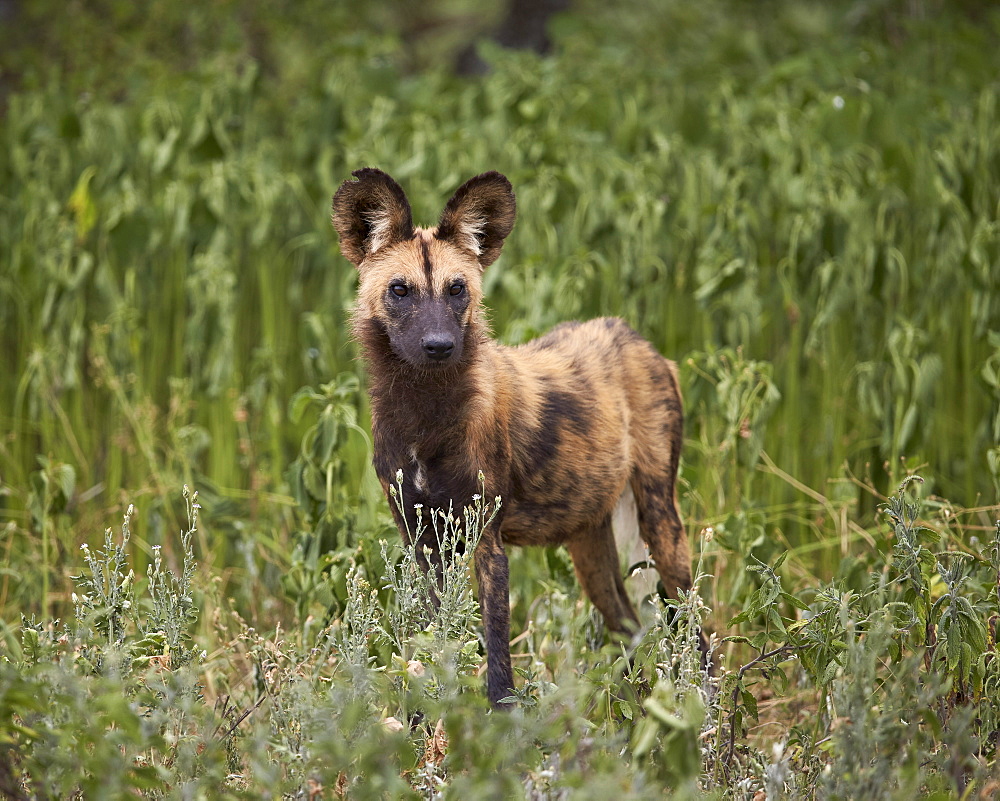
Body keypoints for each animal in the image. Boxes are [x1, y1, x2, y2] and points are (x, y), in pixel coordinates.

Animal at [332, 169, 700, 708]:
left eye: (457, 289)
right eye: (400, 290)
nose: (439, 346)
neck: (425, 419)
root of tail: (638, 338)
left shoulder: (488, 542)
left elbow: (497, 655)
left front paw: (500, 717)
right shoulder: (422, 544)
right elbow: (432, 643)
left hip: (660, 521)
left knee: (695, 631)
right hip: (589, 543)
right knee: (629, 627)